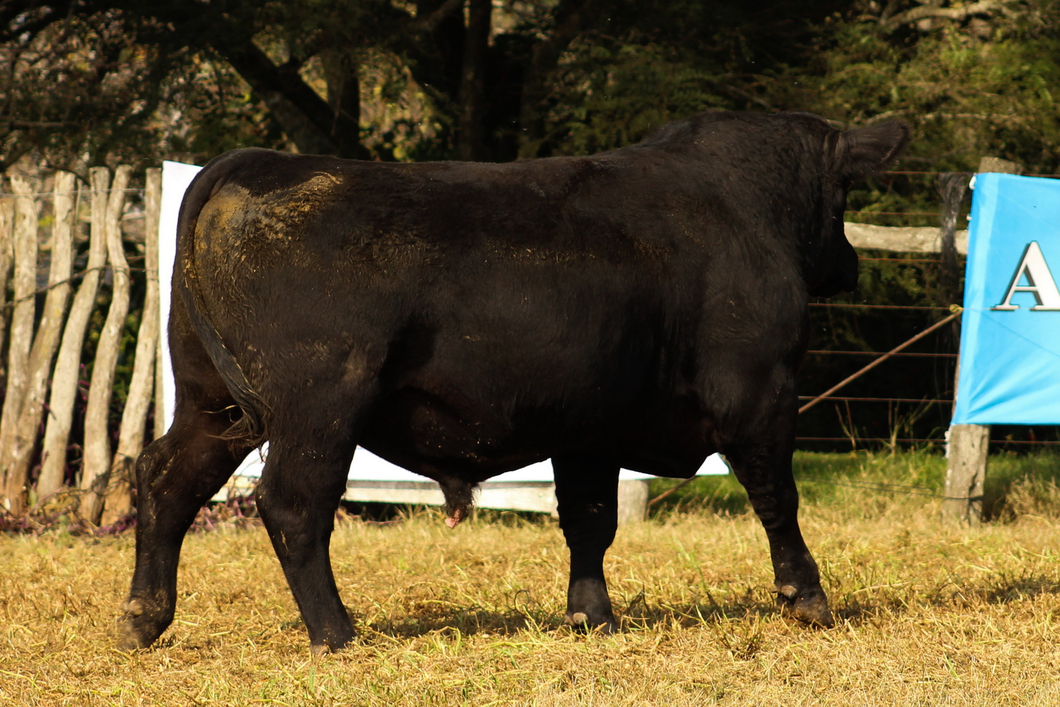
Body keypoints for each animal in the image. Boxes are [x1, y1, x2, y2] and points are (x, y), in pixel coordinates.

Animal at [118, 110, 911, 652]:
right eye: (843, 196)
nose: (850, 263)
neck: (742, 207)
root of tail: (252, 165)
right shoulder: (760, 393)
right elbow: (778, 498)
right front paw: (807, 596)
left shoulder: (591, 423)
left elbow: (590, 519)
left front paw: (592, 614)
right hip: (319, 407)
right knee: (291, 504)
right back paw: (336, 631)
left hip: (213, 402)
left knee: (165, 479)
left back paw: (143, 618)